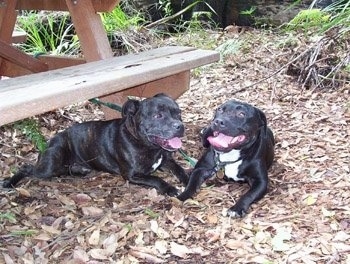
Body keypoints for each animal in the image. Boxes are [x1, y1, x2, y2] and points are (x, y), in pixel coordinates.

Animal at [2, 93, 189, 196]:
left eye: (178, 113)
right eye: (158, 116)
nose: (180, 126)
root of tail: (49, 142)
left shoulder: (167, 161)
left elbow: (180, 169)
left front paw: (189, 179)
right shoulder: (132, 175)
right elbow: (156, 178)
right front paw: (170, 188)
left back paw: (79, 170)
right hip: (50, 164)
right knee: (27, 168)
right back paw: (9, 183)